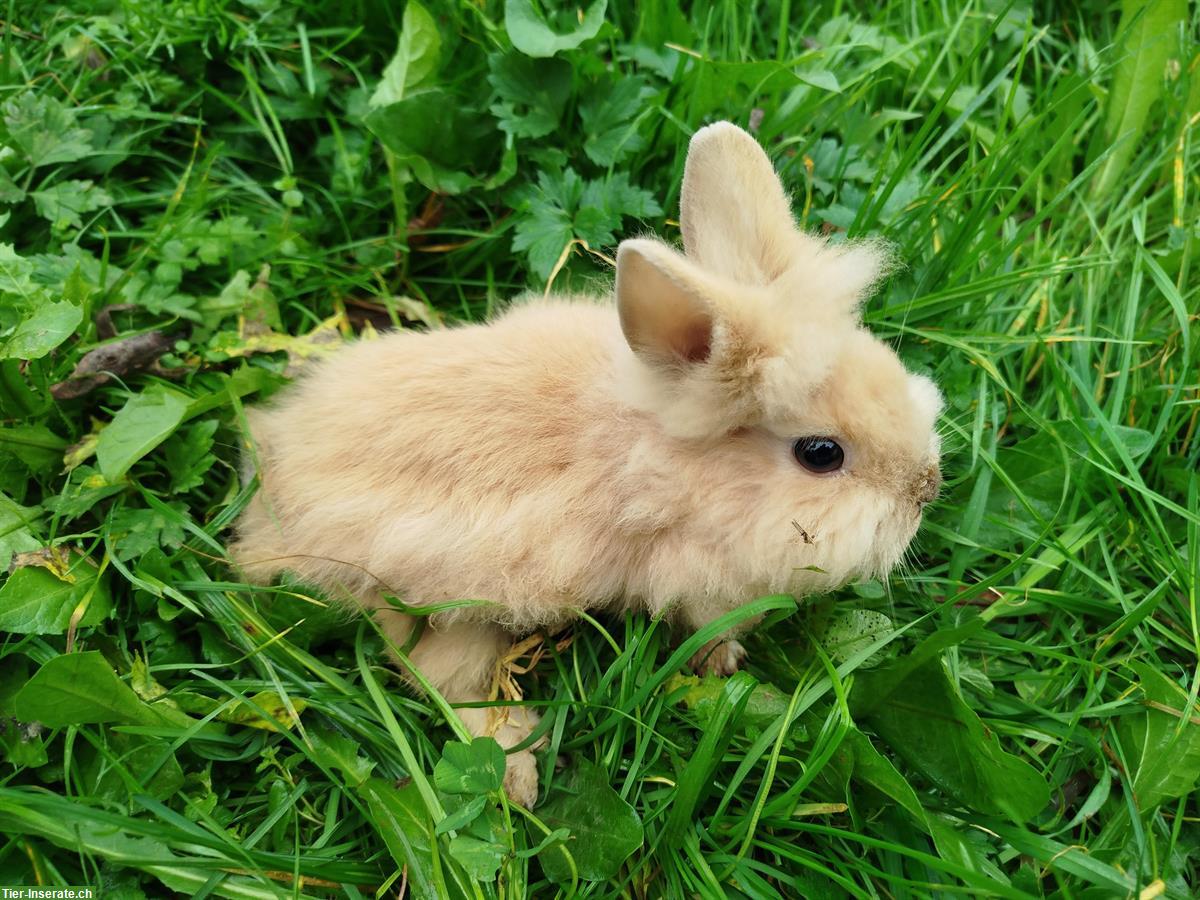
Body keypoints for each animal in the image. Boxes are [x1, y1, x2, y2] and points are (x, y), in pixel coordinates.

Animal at [229, 121, 945, 811]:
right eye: (820, 454)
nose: (927, 488)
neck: (655, 457)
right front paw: (725, 659)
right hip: (457, 591)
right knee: (442, 677)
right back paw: (518, 776)